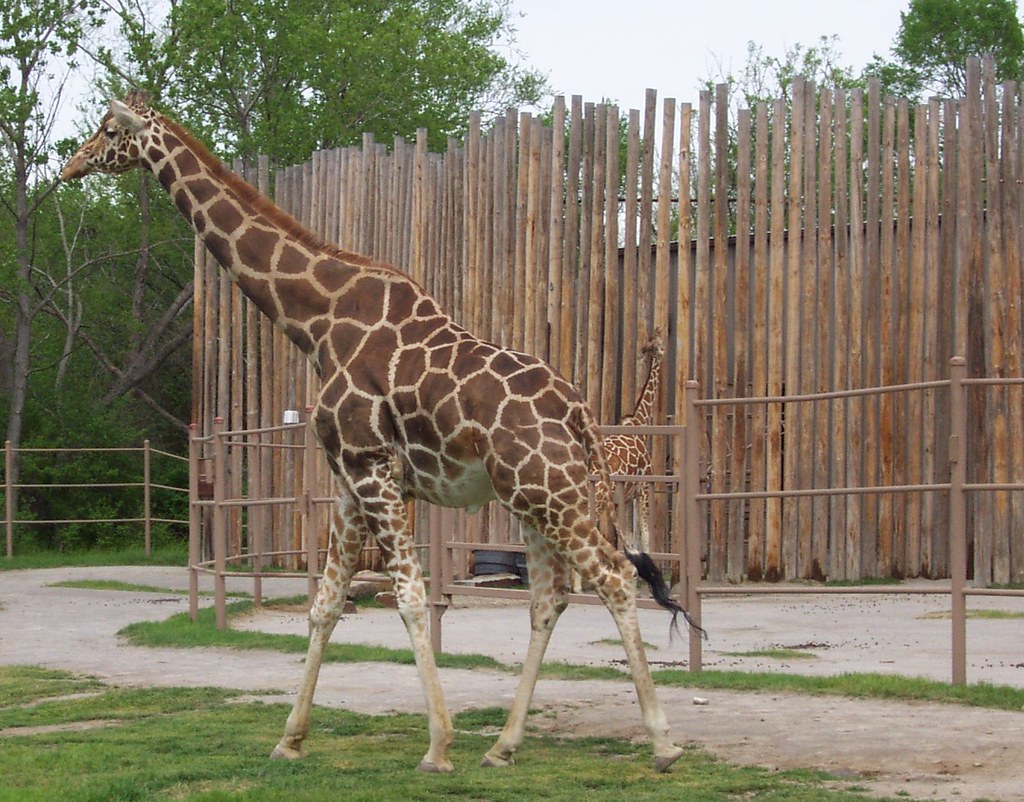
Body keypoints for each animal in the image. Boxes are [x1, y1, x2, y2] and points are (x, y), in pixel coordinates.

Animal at [61, 94, 693, 774]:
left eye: (108, 131)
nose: (71, 165)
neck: (315, 324)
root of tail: (578, 412)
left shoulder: (371, 468)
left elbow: (410, 596)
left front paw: (438, 746)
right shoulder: (346, 478)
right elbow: (326, 603)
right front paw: (290, 739)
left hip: (552, 492)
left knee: (615, 577)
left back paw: (662, 743)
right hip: (531, 498)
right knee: (548, 598)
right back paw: (503, 745)